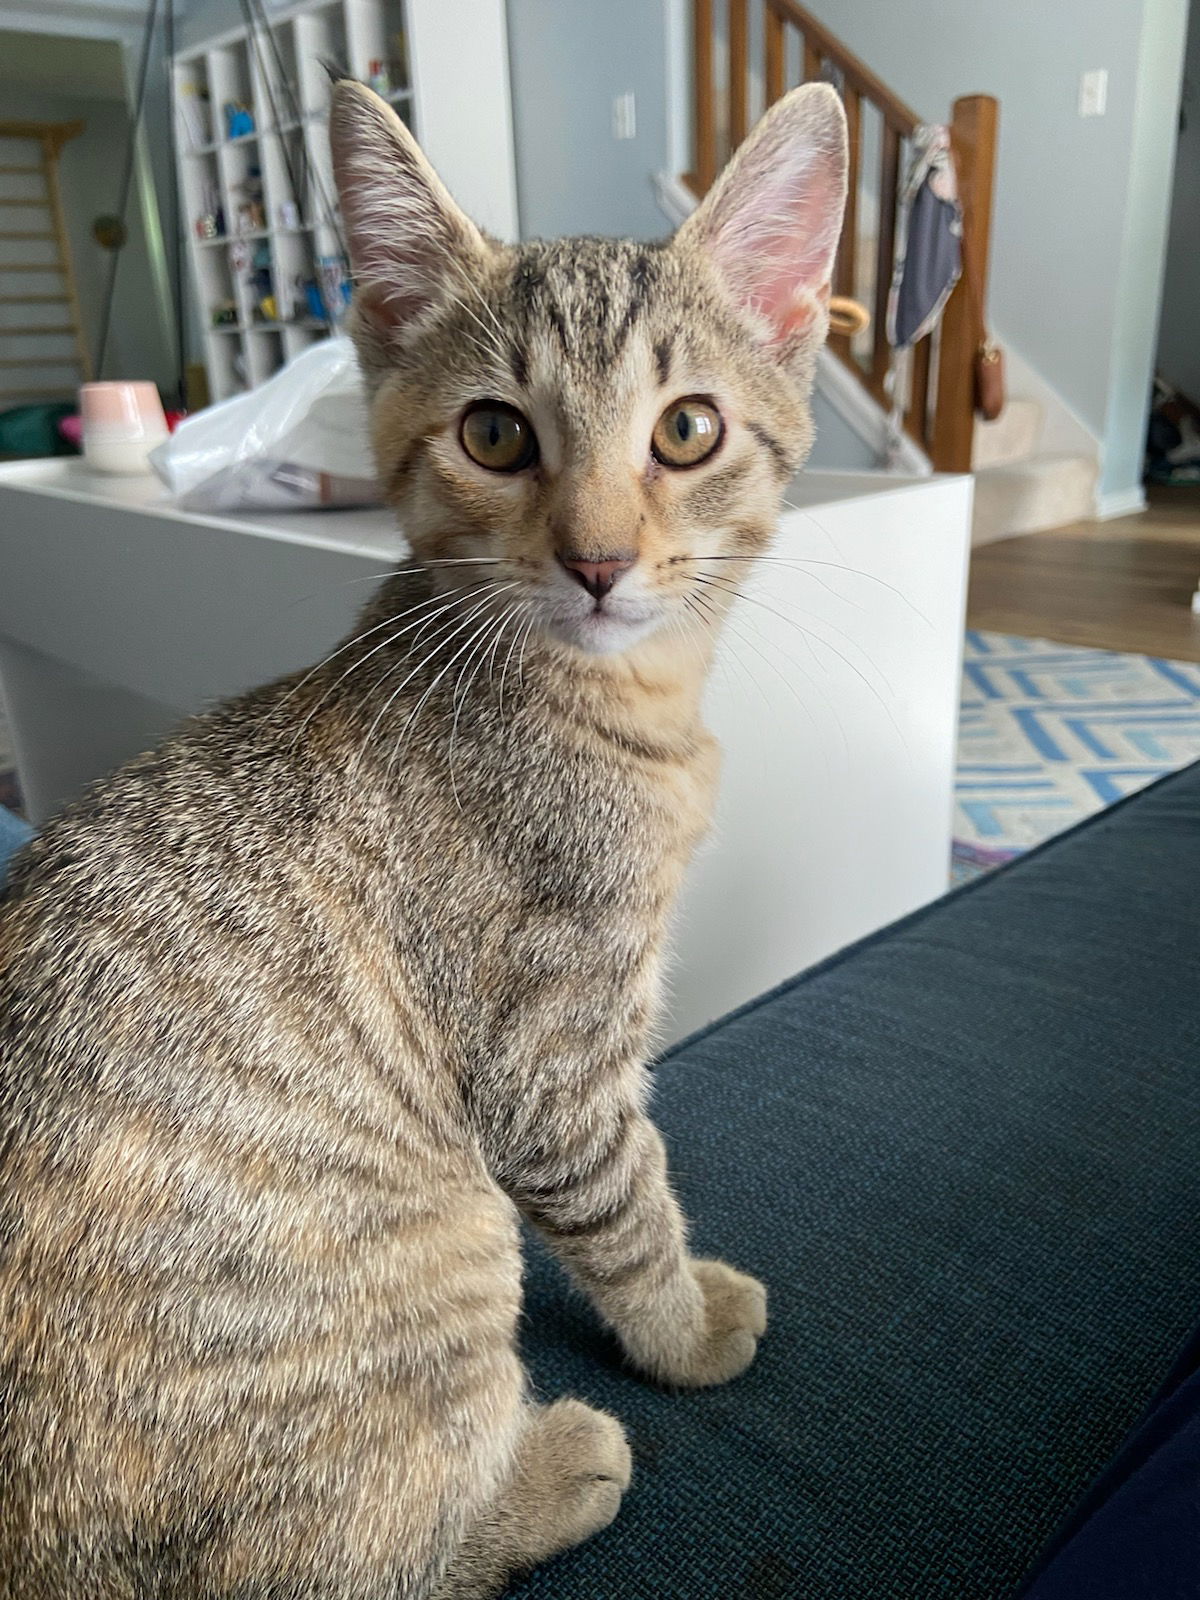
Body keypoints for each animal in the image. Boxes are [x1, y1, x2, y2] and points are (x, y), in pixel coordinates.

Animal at [0, 78, 844, 1600]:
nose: (597, 560)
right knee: (339, 1568)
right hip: (443, 1232)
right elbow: (630, 1203)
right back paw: (549, 1471)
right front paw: (685, 1328)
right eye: (496, 435)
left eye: (687, 431)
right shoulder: (551, 1056)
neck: (617, 706)